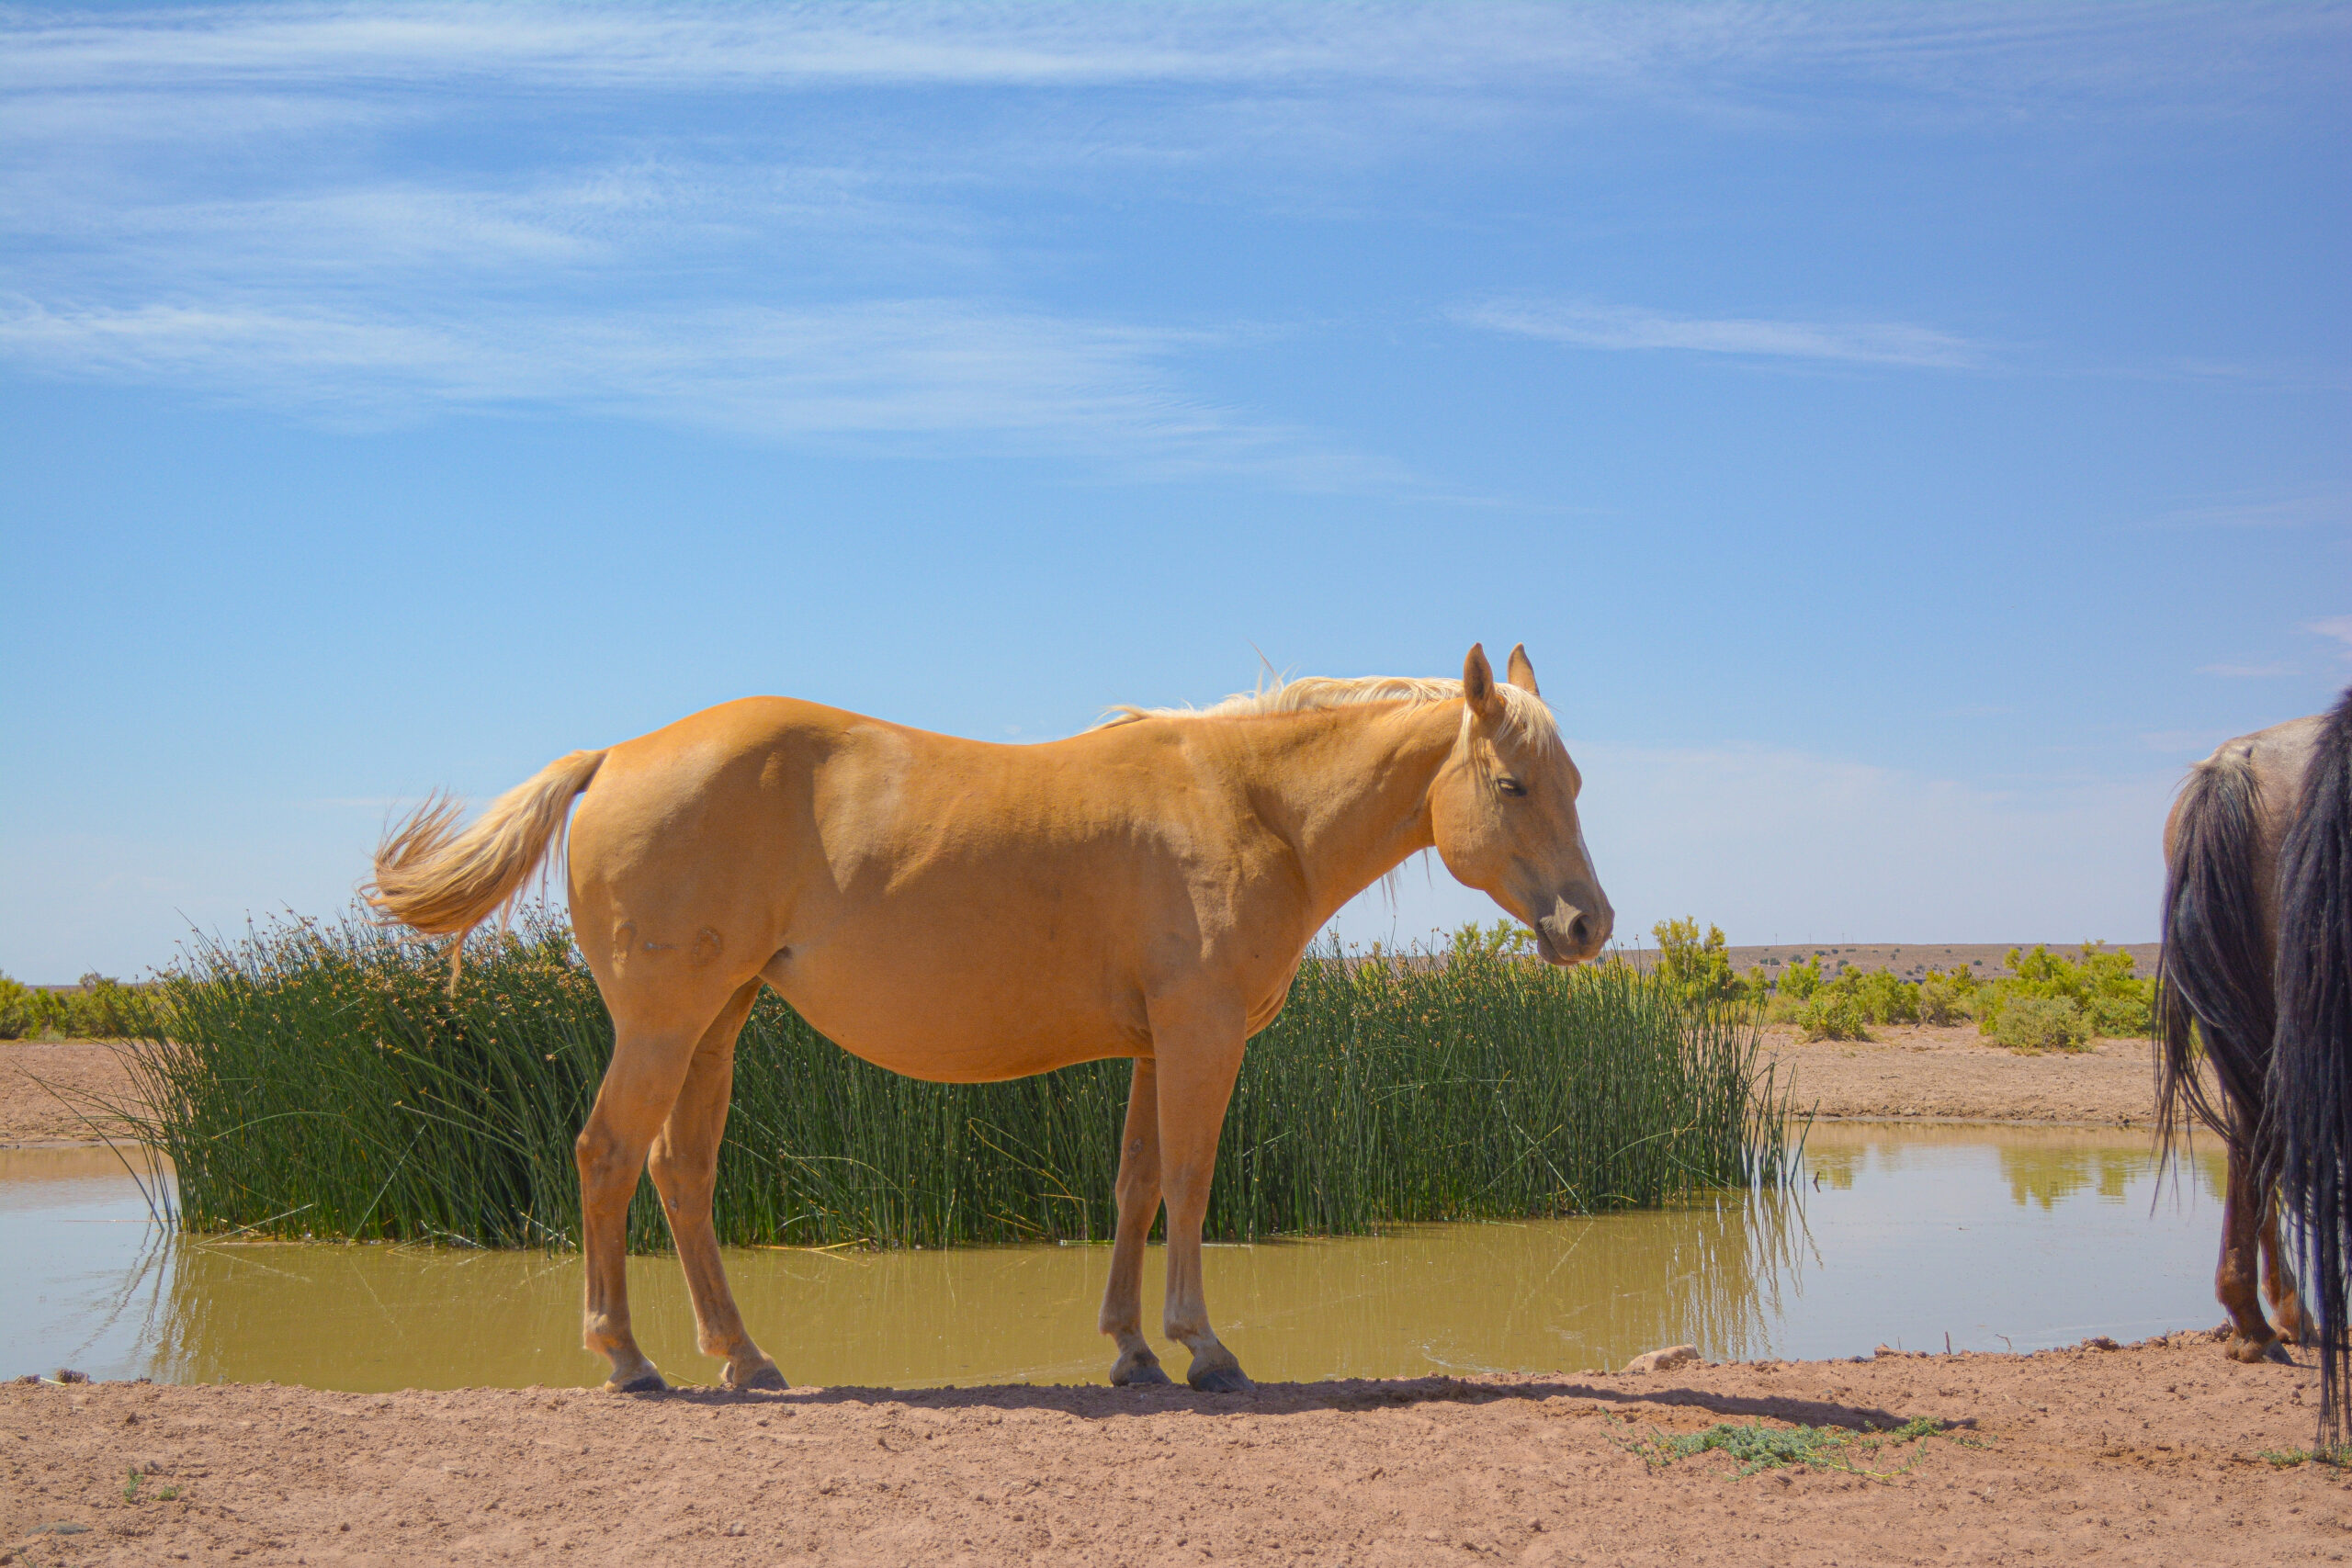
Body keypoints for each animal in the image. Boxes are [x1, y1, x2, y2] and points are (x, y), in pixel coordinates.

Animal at [367, 643, 1612, 1394]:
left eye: (1575, 784)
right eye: (1512, 785)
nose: (1588, 922)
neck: (1247, 804)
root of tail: (617, 755)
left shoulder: (1154, 1047)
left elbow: (1136, 1184)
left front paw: (1130, 1350)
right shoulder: (1202, 1038)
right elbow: (1193, 1180)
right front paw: (1202, 1347)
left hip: (718, 1021)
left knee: (682, 1170)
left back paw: (743, 1356)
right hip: (664, 1025)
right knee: (609, 1155)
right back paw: (626, 1358)